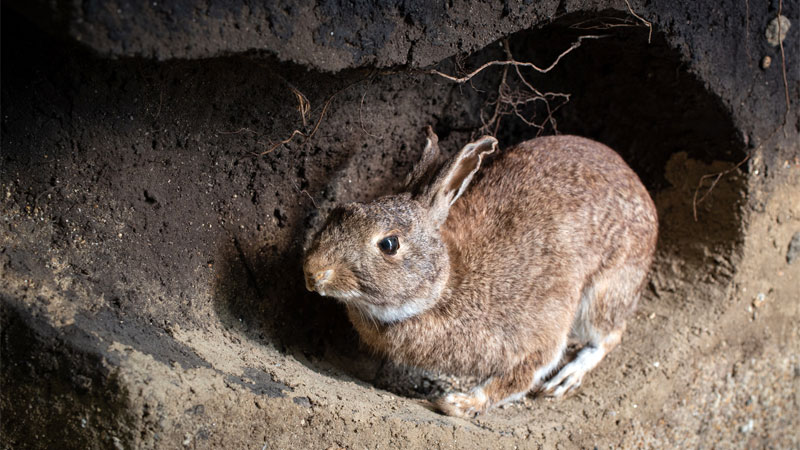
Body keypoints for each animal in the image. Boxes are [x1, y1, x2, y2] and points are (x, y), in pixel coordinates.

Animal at [304, 127, 660, 418]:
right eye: (340, 212)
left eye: (389, 244)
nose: (314, 272)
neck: (446, 282)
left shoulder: (538, 331)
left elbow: (520, 376)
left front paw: (459, 403)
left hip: (605, 291)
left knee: (609, 334)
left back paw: (567, 377)